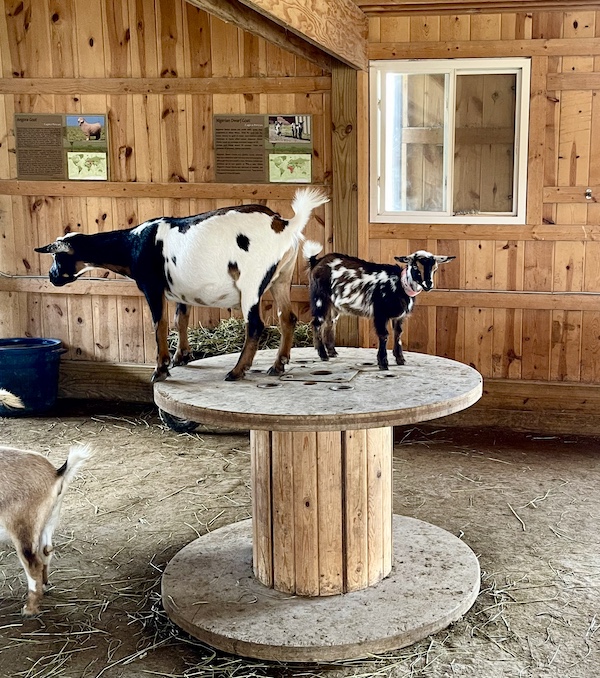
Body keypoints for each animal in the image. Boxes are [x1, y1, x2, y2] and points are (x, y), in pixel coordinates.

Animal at [0, 443, 92, 615]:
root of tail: (55, 473)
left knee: (33, 563)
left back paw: (29, 609)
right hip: (49, 519)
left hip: (23, 525)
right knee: (46, 551)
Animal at [36, 188, 329, 383]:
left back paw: (236, 371)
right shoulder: (179, 290)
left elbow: (160, 325)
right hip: (282, 277)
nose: (51, 277)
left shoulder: (152, 287)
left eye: (57, 257)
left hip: (252, 281)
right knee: (287, 317)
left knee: (256, 325)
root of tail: (283, 224)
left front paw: (161, 369)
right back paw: (278, 365)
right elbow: (181, 319)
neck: (132, 244)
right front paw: (182, 356)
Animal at [304, 242, 455, 370]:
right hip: (320, 297)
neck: (399, 285)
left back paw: (332, 351)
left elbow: (398, 334)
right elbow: (384, 335)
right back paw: (323, 355)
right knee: (317, 322)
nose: (428, 284)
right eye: (415, 266)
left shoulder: (399, 316)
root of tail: (316, 262)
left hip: (333, 304)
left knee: (330, 322)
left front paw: (400, 359)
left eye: (435, 269)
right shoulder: (380, 313)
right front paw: (383, 363)